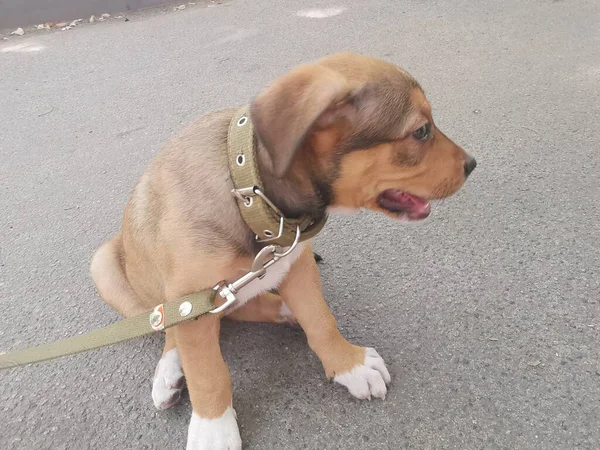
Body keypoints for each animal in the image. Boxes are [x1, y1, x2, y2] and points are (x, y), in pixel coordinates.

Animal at [89, 51, 476, 448]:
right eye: (421, 131)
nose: (472, 165)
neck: (252, 198)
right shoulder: (189, 298)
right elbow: (209, 374)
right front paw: (214, 428)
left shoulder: (297, 262)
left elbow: (321, 320)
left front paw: (348, 364)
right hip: (106, 267)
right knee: (166, 326)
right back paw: (170, 370)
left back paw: (284, 310)